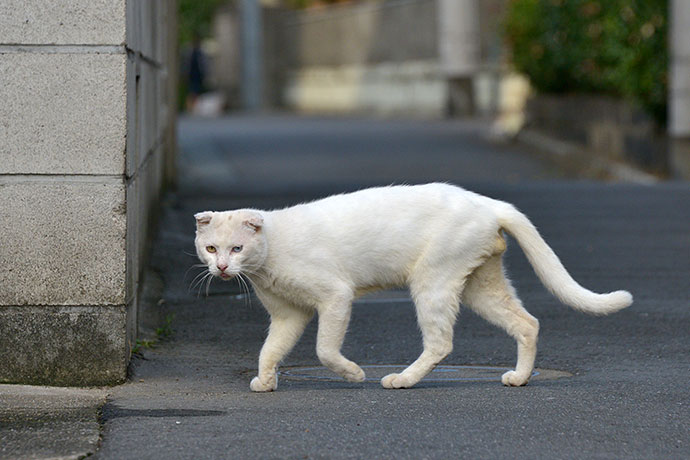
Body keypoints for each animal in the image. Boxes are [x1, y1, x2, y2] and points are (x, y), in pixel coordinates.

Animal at [192, 183, 628, 392]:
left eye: (237, 248)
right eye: (211, 248)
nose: (222, 267)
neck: (267, 261)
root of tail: (489, 203)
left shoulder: (335, 296)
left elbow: (324, 350)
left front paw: (354, 374)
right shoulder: (288, 314)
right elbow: (269, 351)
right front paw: (266, 382)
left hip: (432, 282)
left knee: (441, 343)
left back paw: (401, 379)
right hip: (479, 286)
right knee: (527, 323)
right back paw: (519, 378)